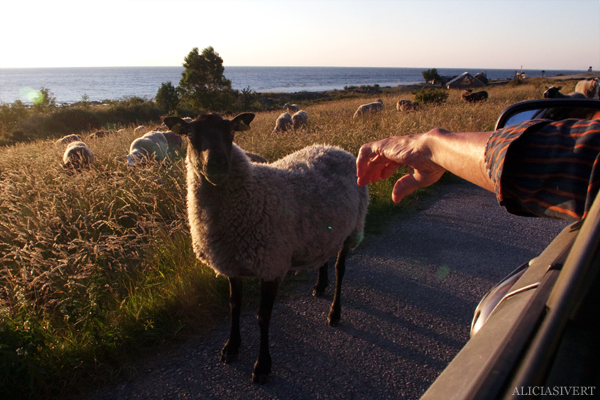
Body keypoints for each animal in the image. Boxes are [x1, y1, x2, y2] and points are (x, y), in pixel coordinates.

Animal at [162, 112, 370, 384]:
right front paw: (231, 347)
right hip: (325, 230)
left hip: (353, 228)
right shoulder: (232, 264)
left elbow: (263, 316)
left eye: (231, 133)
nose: (217, 165)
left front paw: (262, 365)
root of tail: (336, 148)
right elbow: (234, 306)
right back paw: (320, 285)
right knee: (324, 256)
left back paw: (335, 312)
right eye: (190, 135)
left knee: (340, 269)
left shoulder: (271, 264)